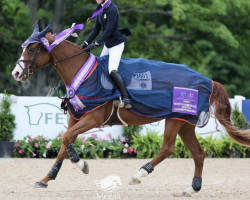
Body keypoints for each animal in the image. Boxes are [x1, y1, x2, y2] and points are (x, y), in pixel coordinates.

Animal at [12, 25, 250, 197]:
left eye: (32, 49)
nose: (16, 73)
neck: (82, 73)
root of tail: (207, 81)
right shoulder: (76, 117)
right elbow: (64, 142)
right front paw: (46, 178)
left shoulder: (92, 119)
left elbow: (66, 139)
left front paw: (81, 164)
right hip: (185, 122)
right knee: (198, 153)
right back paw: (192, 188)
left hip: (174, 120)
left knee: (167, 149)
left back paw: (139, 175)